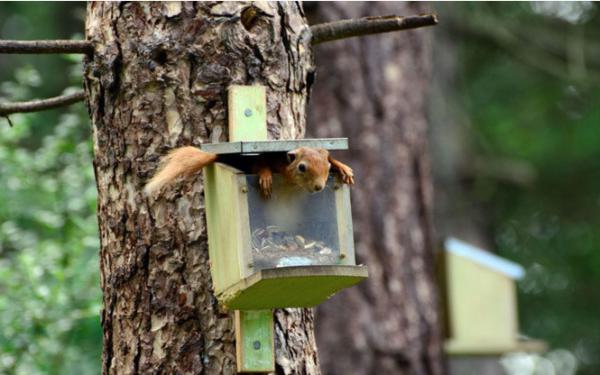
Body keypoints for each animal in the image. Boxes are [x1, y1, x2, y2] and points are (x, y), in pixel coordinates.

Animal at [145, 147, 354, 200]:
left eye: (327, 168)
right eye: (302, 167)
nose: (319, 187)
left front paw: (343, 167)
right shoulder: (271, 159)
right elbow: (259, 163)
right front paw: (266, 176)